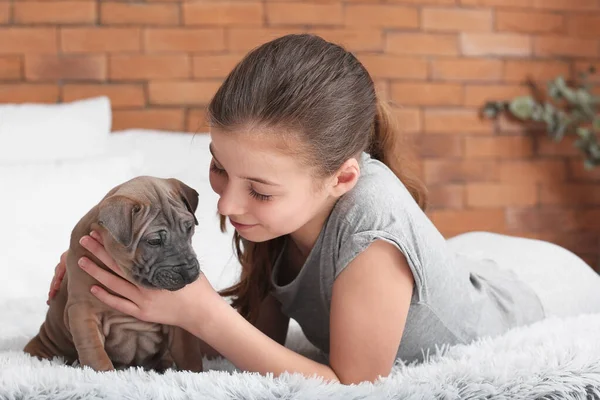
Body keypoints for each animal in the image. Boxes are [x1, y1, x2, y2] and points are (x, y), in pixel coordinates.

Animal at [23, 175, 205, 372]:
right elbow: (95, 352)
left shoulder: (179, 321)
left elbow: (188, 352)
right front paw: (103, 374)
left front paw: (194, 373)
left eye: (189, 228)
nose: (190, 271)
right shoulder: (83, 311)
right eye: (154, 241)